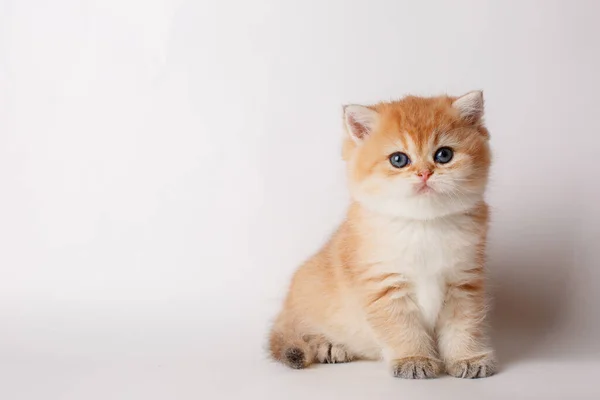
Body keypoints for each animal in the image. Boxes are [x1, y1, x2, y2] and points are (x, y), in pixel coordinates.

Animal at [270, 90, 494, 378]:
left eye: (444, 155)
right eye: (399, 159)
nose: (424, 173)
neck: (422, 224)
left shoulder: (463, 283)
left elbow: (463, 327)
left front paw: (467, 358)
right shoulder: (383, 286)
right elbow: (402, 329)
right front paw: (414, 358)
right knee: (299, 333)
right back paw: (328, 345)